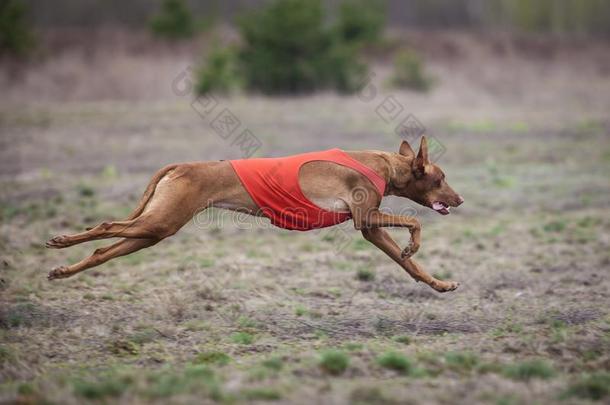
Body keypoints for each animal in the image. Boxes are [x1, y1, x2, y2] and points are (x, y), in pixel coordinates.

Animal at [46, 137, 460, 292]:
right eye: (441, 178)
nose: (460, 200)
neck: (385, 166)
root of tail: (180, 165)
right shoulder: (365, 217)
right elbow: (414, 221)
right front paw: (413, 245)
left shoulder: (369, 229)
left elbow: (409, 267)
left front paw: (438, 283)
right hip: (159, 222)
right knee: (105, 225)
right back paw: (61, 240)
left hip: (153, 231)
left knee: (103, 251)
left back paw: (63, 269)